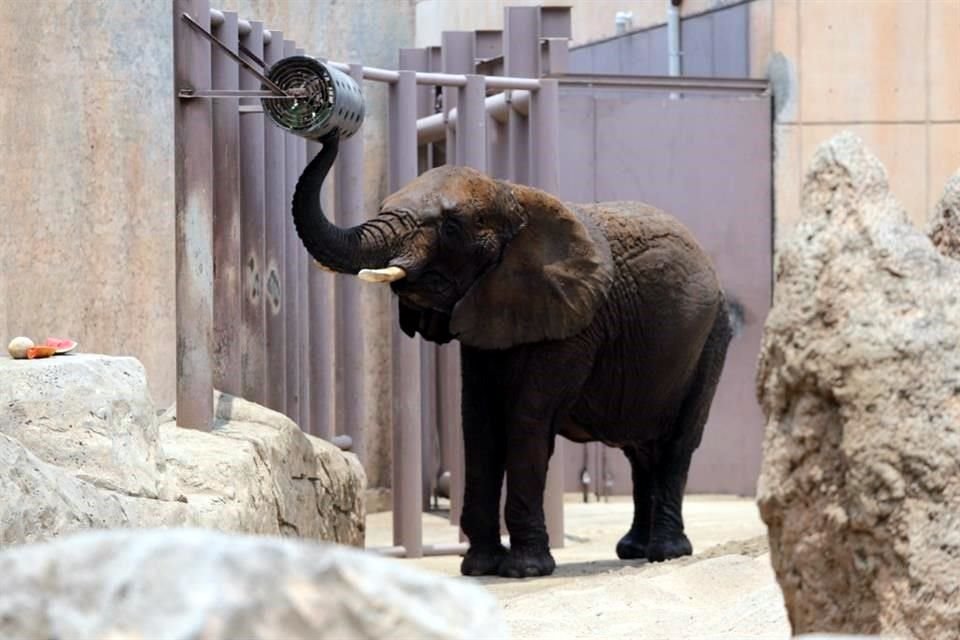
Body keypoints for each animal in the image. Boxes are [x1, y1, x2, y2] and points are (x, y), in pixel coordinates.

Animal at [296, 135, 732, 580]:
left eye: (451, 227)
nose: (328, 135)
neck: (514, 198)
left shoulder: (573, 323)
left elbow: (527, 420)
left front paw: (525, 570)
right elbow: (478, 423)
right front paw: (479, 567)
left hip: (712, 339)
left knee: (676, 443)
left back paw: (666, 552)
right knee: (639, 449)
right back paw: (632, 550)